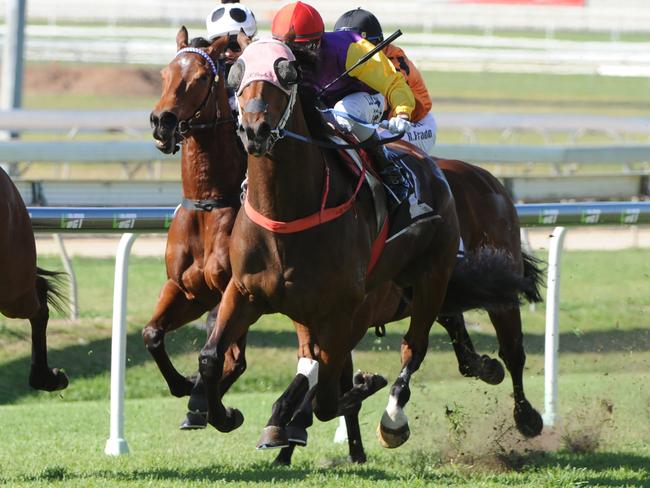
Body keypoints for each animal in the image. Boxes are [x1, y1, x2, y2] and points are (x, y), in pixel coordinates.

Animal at [199, 38, 536, 450]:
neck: (287, 215)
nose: (255, 130)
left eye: (288, 74)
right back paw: (483, 369)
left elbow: (327, 396)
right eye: (236, 74)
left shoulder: (343, 310)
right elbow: (212, 357)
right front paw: (225, 414)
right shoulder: (247, 291)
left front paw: (355, 390)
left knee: (454, 348)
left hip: (441, 277)